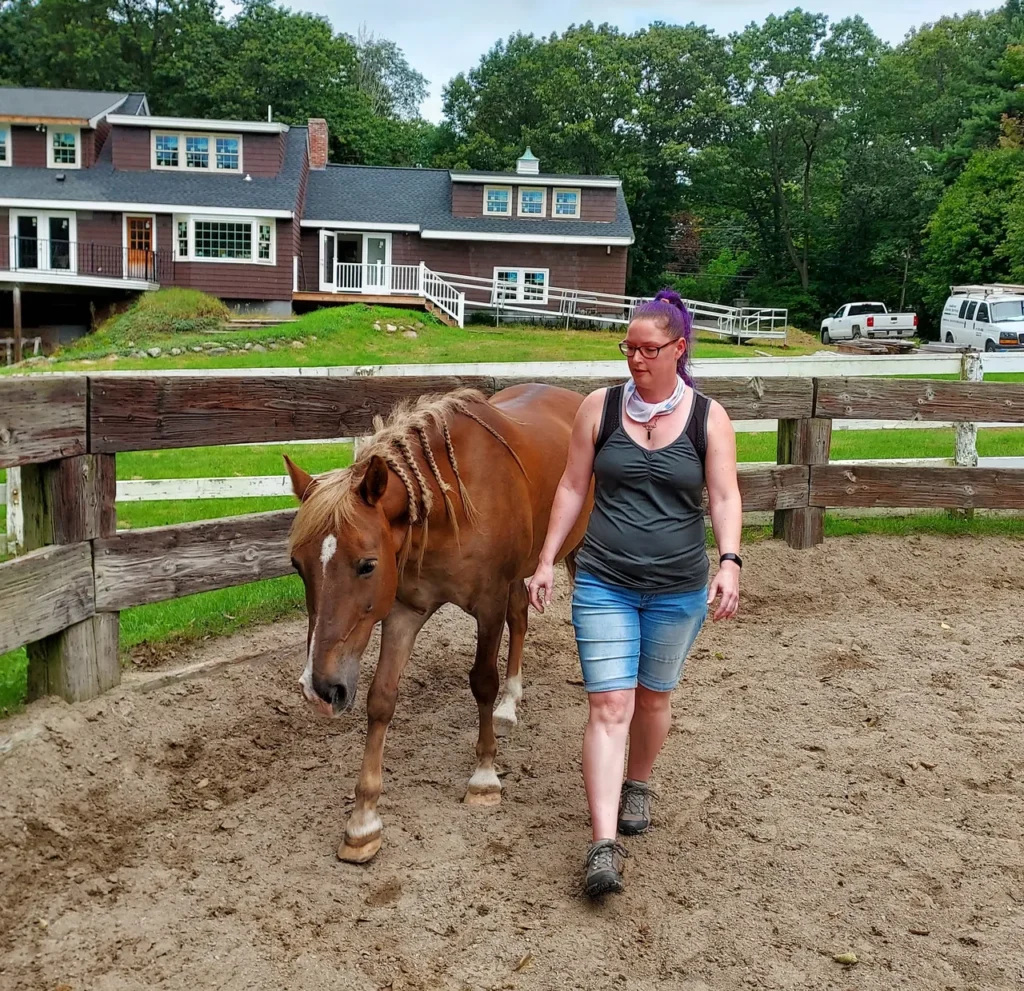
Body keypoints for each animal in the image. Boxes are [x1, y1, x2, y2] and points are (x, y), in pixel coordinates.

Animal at [286, 382, 593, 864]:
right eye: (297, 566)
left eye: (367, 564)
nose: (319, 690)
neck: (449, 504)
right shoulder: (404, 611)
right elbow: (381, 698)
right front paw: (363, 822)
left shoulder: (488, 604)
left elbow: (482, 681)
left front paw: (484, 777)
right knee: (521, 616)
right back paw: (510, 703)